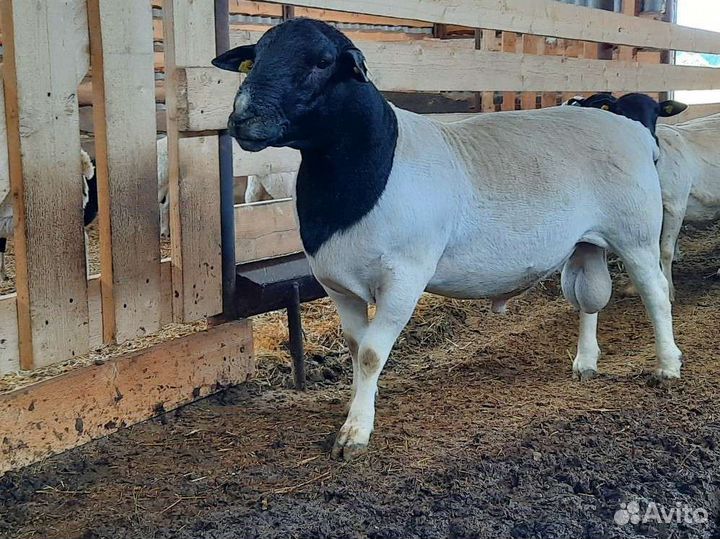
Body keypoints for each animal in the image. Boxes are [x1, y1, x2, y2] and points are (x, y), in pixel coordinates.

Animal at [212, 19, 683, 460]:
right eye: (254, 59)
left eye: (322, 62)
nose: (243, 119)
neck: (368, 168)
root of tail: (632, 130)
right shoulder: (338, 284)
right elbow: (356, 348)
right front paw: (360, 406)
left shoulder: (404, 277)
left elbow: (370, 353)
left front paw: (354, 434)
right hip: (586, 244)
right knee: (587, 300)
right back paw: (585, 363)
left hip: (636, 234)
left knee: (656, 293)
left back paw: (668, 366)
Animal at [567, 93, 720, 300]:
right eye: (620, 112)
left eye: (656, 114)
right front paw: (634, 287)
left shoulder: (675, 205)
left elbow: (665, 251)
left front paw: (669, 291)